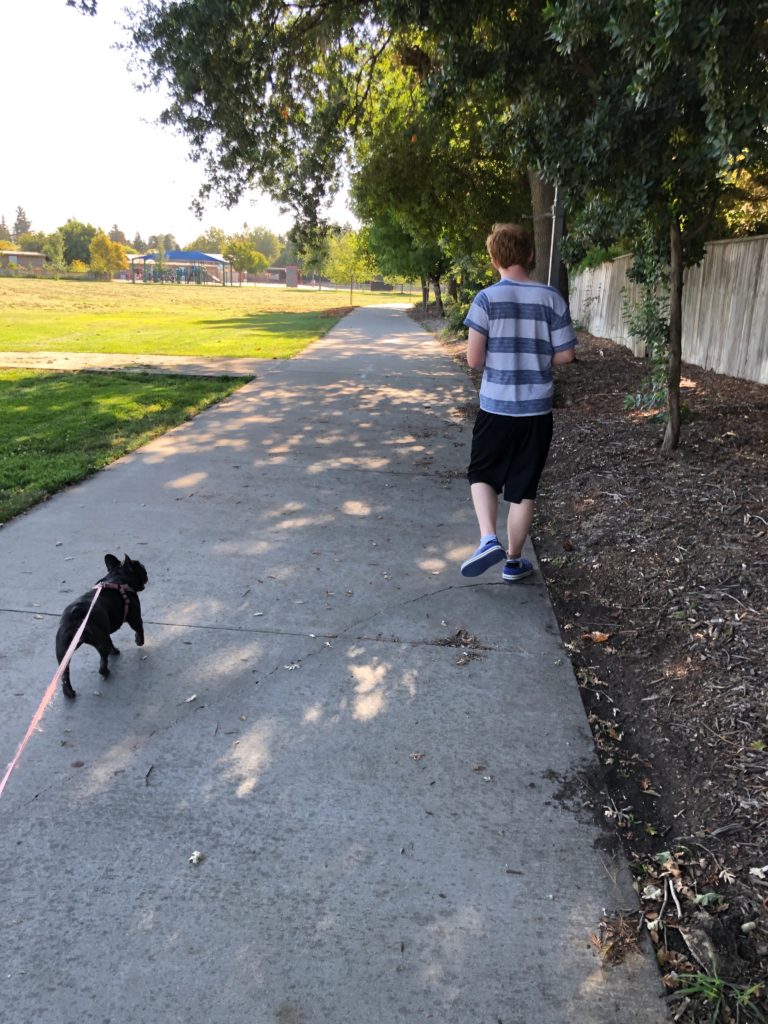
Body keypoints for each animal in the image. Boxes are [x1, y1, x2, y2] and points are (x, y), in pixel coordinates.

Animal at [55, 557, 148, 700]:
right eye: (142, 569)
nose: (147, 573)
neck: (118, 578)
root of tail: (75, 614)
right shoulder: (135, 617)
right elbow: (139, 629)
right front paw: (139, 641)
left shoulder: (105, 628)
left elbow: (111, 640)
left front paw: (114, 649)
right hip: (99, 640)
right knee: (103, 658)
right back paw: (105, 671)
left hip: (62, 649)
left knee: (65, 673)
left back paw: (68, 692)